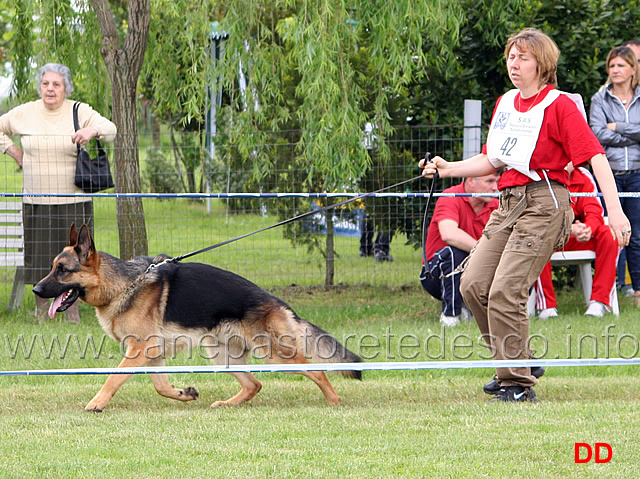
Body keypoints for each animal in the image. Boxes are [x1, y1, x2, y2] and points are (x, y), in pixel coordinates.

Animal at [33, 225, 360, 412]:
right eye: (52, 267)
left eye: (62, 270)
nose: (36, 289)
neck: (123, 284)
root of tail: (275, 301)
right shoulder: (152, 353)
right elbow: (161, 386)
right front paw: (184, 393)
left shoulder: (139, 351)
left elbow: (114, 378)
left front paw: (97, 403)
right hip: (220, 354)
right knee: (254, 384)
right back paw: (227, 405)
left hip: (275, 354)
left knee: (318, 372)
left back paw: (335, 403)